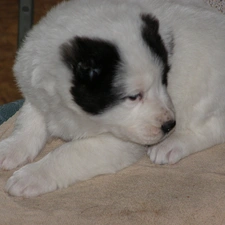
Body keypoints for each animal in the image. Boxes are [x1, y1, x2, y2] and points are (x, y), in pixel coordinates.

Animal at [0, 0, 224, 197]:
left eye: (164, 80)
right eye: (133, 96)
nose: (169, 125)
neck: (70, 108)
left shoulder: (119, 140)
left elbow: (69, 152)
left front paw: (31, 175)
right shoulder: (39, 94)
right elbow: (29, 121)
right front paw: (12, 148)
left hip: (201, 93)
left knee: (213, 127)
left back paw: (171, 145)